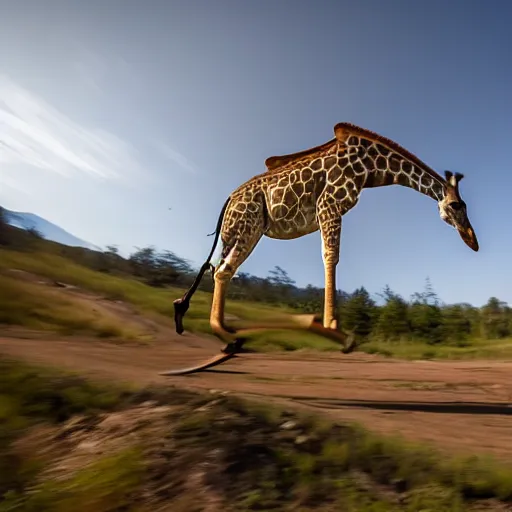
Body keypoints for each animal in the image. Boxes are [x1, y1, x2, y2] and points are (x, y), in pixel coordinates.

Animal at [167, 122, 476, 374]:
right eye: (456, 205)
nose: (472, 241)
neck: (371, 167)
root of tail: (229, 199)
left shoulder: (331, 209)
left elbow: (331, 257)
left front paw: (326, 326)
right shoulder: (329, 204)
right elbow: (331, 257)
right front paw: (336, 331)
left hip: (239, 233)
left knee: (221, 270)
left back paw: (227, 338)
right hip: (248, 227)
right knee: (223, 271)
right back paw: (228, 337)